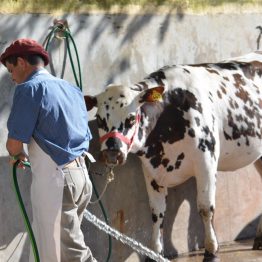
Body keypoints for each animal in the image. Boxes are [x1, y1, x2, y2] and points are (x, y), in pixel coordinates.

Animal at [85, 52, 262, 260]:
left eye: (130, 119)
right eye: (99, 119)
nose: (112, 153)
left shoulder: (207, 160)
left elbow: (205, 207)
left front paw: (211, 250)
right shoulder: (151, 170)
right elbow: (157, 213)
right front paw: (155, 252)